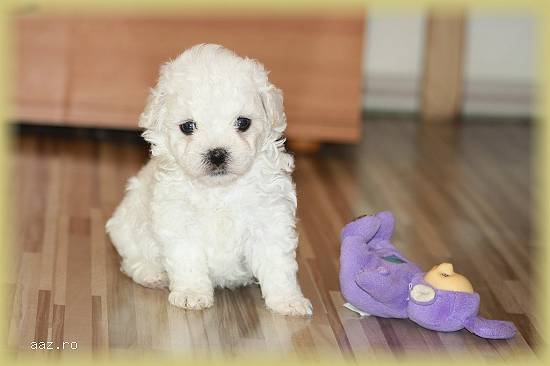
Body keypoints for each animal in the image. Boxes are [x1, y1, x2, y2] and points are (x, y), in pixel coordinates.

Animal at [106, 44, 314, 316]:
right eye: (188, 127)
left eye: (243, 123)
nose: (217, 154)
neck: (219, 190)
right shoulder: (178, 222)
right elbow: (188, 259)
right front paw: (191, 294)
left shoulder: (270, 219)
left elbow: (277, 263)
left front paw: (287, 300)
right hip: (127, 227)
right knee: (133, 260)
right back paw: (153, 275)